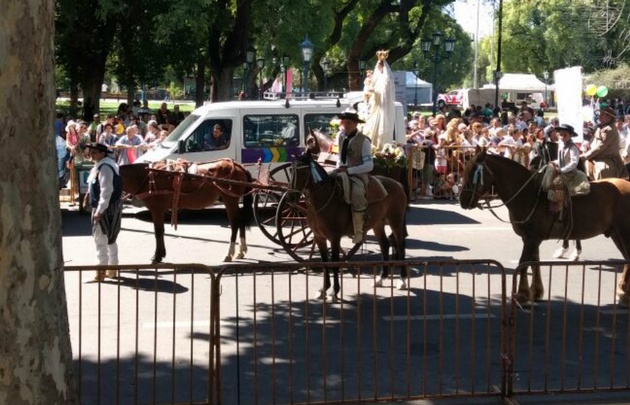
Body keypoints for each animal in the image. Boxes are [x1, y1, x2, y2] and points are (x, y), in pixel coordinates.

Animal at [119, 158, 253, 262]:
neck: (147, 177)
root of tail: (239, 166)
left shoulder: (157, 210)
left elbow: (158, 232)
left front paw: (157, 256)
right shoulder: (159, 210)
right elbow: (161, 231)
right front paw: (161, 254)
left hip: (230, 199)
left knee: (235, 223)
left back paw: (229, 253)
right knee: (241, 220)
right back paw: (241, 251)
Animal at [292, 148, 410, 300]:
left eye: (302, 172)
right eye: (291, 171)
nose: (291, 197)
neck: (323, 200)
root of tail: (398, 184)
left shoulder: (334, 238)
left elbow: (335, 262)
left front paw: (334, 291)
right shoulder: (319, 237)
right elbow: (324, 263)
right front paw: (324, 289)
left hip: (396, 221)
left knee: (400, 245)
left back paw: (402, 280)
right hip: (378, 224)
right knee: (385, 245)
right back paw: (380, 279)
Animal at [460, 150, 630, 304]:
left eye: (473, 173)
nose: (462, 200)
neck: (530, 195)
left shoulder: (532, 239)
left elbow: (523, 263)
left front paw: (522, 295)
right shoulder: (530, 239)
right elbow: (533, 262)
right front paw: (535, 292)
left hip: (623, 233)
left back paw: (623, 293)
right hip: (616, 234)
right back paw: (622, 292)